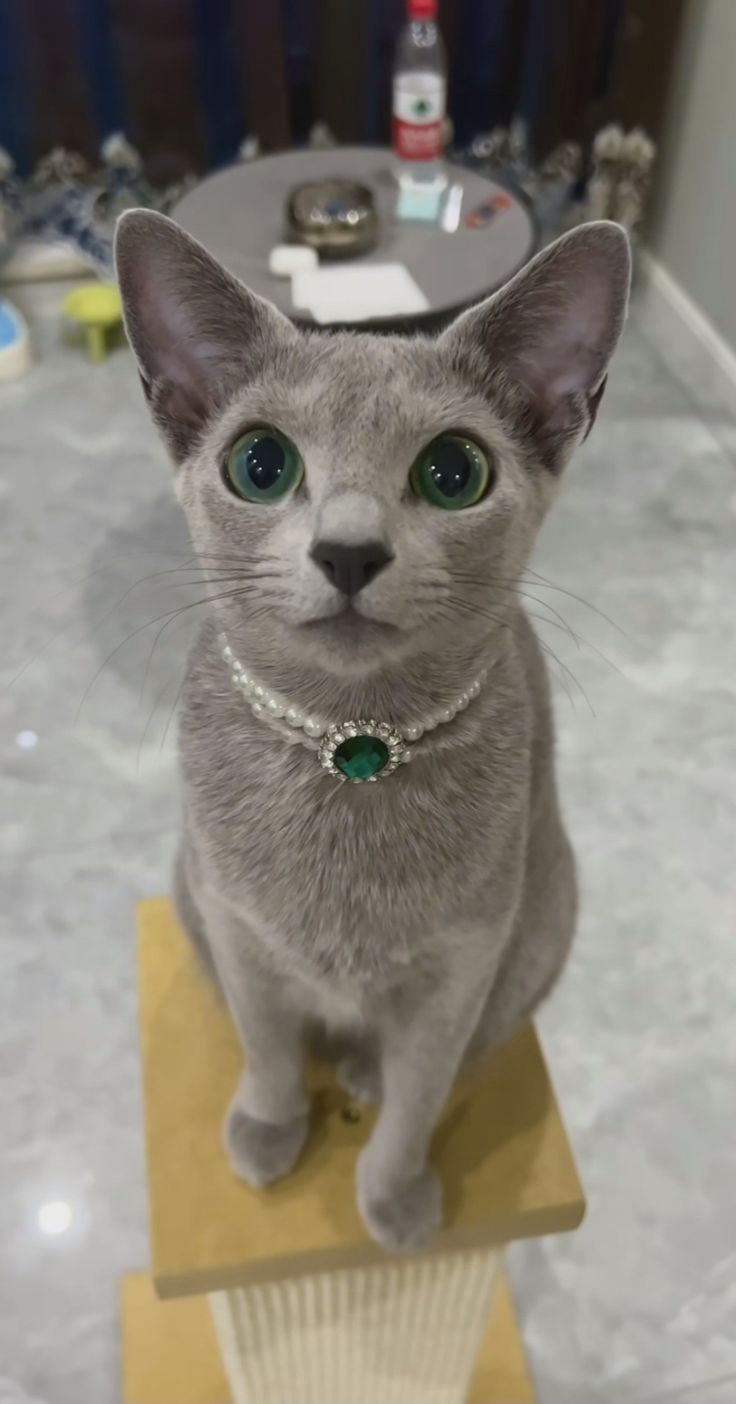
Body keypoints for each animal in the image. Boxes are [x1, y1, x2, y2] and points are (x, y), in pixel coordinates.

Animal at [116, 213, 632, 1257]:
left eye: (454, 472)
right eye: (260, 464)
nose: (349, 549)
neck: (350, 744)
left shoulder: (461, 969)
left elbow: (420, 1095)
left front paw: (395, 1199)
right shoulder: (238, 928)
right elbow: (269, 1047)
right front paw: (269, 1129)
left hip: (545, 914)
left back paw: (361, 1072)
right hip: (186, 883)